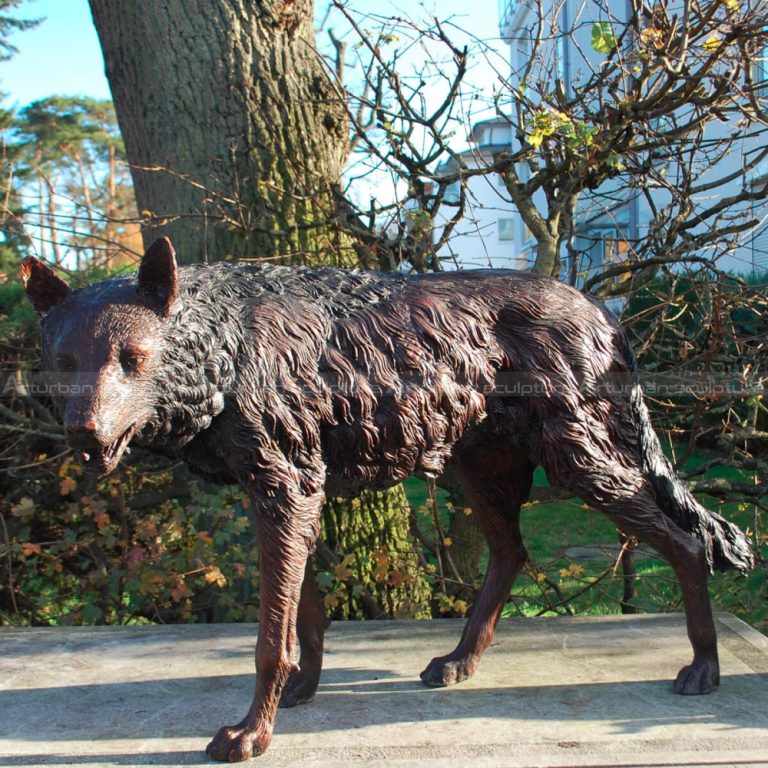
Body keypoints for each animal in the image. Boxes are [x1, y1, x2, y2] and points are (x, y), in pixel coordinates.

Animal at [23, 237, 753, 761]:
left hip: (580, 461)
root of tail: (602, 308)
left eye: (132, 357)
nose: (83, 434)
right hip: (480, 468)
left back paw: (704, 667)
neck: (226, 345)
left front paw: (251, 735)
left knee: (685, 540)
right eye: (64, 362)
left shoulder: (286, 489)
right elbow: (304, 617)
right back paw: (460, 661)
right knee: (511, 553)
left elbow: (269, 639)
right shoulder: (288, 494)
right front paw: (301, 693)